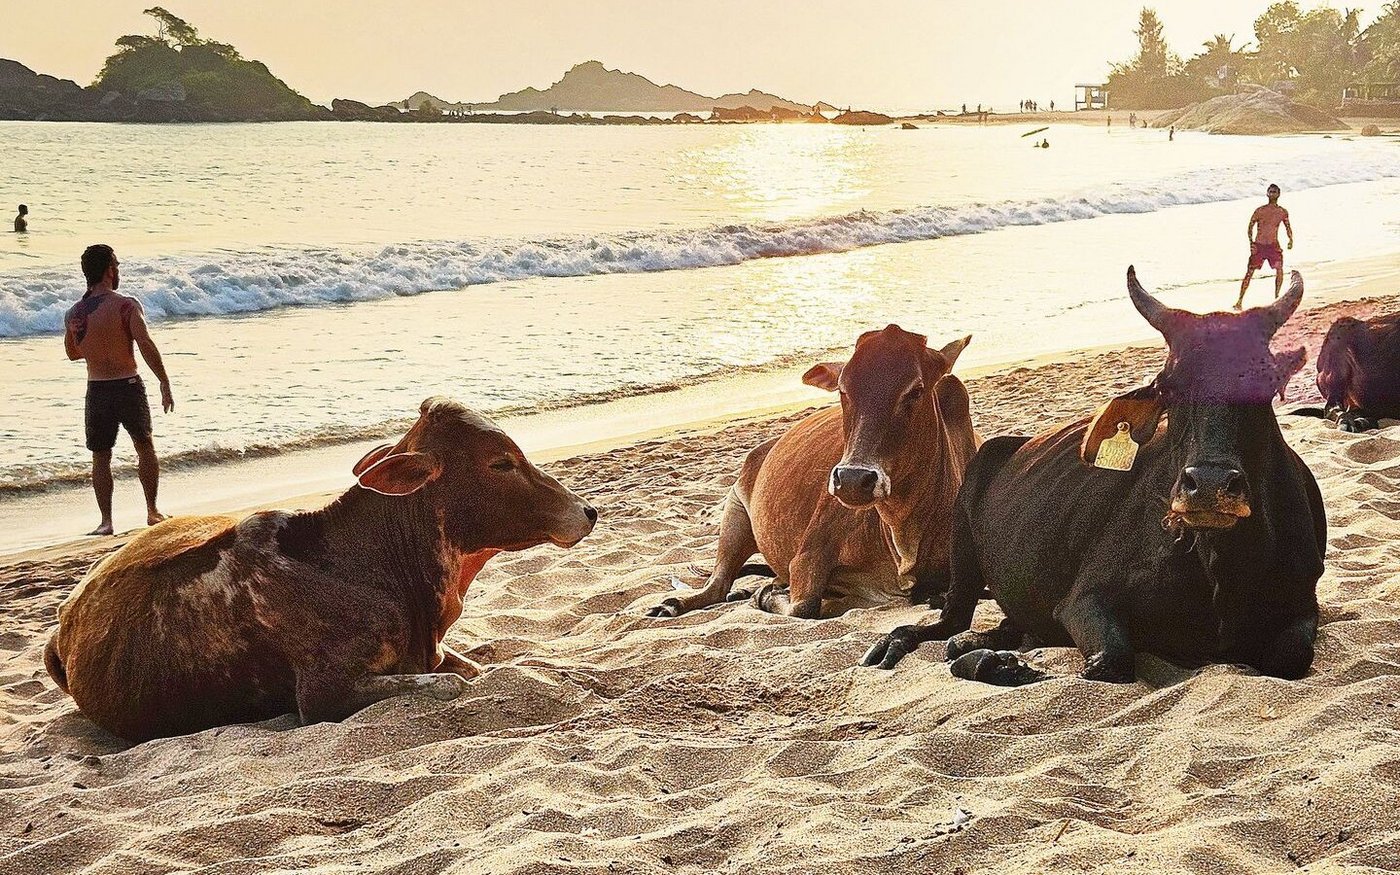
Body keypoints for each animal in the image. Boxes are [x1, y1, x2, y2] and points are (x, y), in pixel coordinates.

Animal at [44, 398, 598, 742]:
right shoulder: (322, 695)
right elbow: (449, 684)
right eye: (501, 462)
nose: (588, 511)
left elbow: (475, 670)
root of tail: (64, 622)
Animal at [647, 325, 979, 620]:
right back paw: (676, 604)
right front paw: (766, 595)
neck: (903, 536)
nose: (853, 480)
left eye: (916, 390)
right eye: (843, 390)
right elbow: (803, 606)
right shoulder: (807, 557)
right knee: (717, 585)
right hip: (735, 512)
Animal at [861, 268, 1326, 686]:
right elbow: (1110, 662)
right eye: (1168, 386)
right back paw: (913, 644)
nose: (1209, 486)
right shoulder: (1084, 602)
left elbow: (1288, 658)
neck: (1217, 563)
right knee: (949, 621)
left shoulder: (1303, 605)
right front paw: (998, 666)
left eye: (1266, 380)